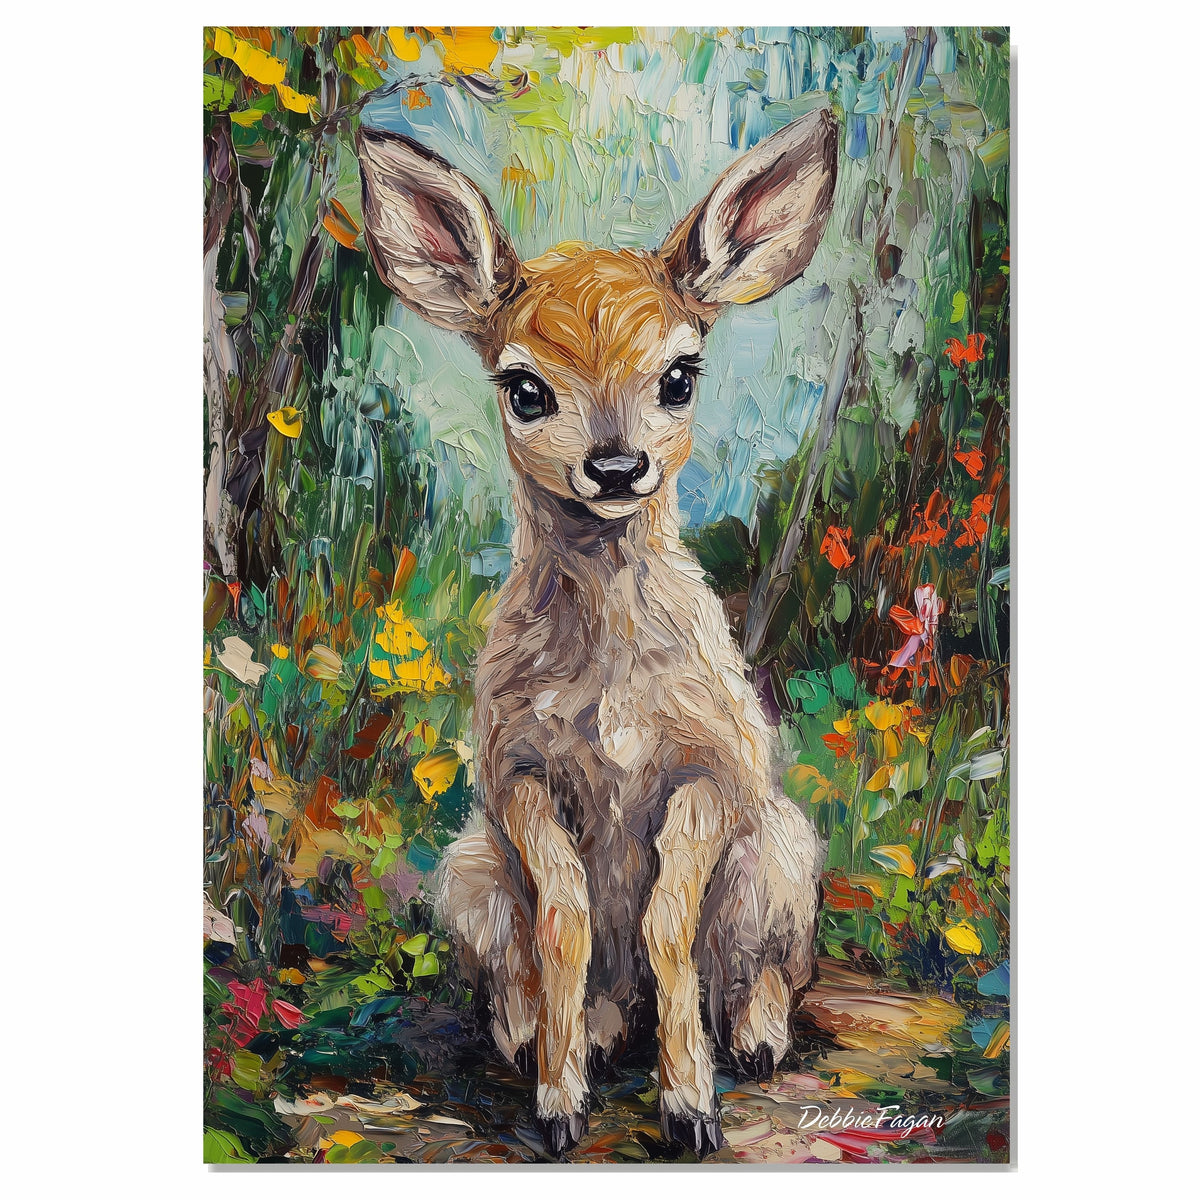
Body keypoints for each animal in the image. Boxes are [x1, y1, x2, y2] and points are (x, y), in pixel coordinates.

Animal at [356, 103, 838, 1158]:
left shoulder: (708, 771)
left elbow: (666, 922)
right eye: (525, 388)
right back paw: (551, 1036)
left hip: (782, 855)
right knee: (534, 969)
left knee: (758, 967)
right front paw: (559, 1101)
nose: (615, 468)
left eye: (681, 375)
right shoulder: (518, 774)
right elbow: (567, 919)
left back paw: (750, 1044)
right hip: (470, 872)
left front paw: (691, 1108)